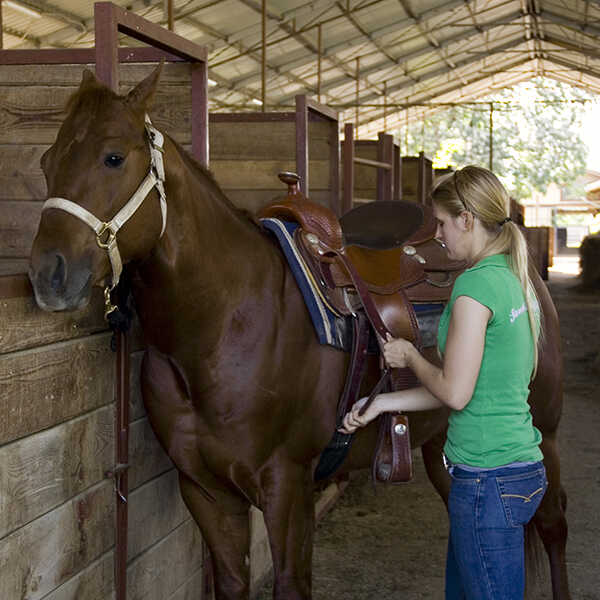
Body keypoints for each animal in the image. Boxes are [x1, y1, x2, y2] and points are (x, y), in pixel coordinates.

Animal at [29, 67, 572, 600]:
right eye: (46, 160)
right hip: (441, 444)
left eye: (113, 157)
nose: (47, 273)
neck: (222, 325)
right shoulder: (205, 490)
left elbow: (292, 584)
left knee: (552, 524)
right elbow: (231, 582)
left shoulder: (287, 487)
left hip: (543, 434)